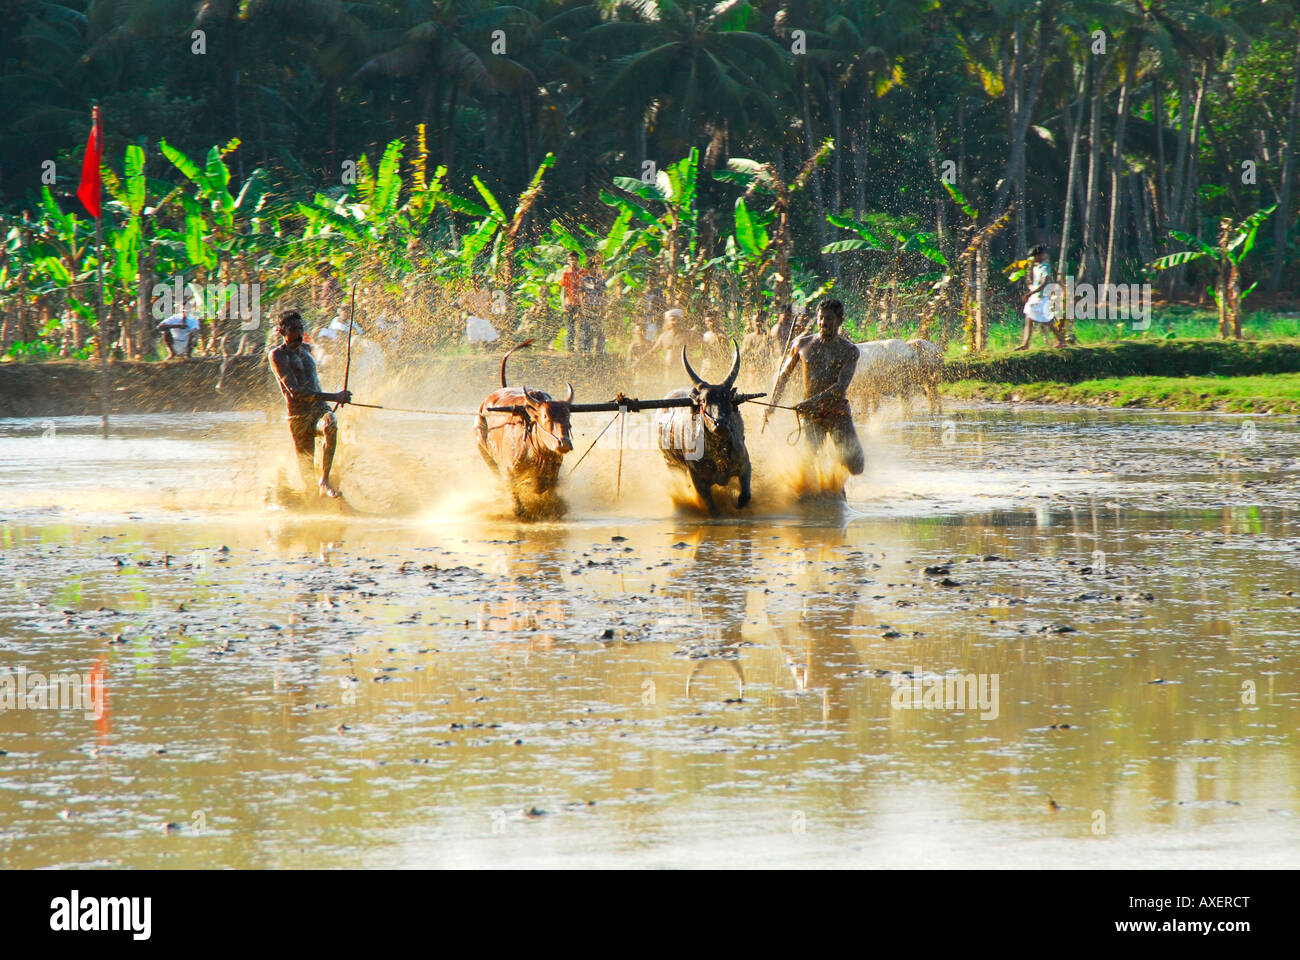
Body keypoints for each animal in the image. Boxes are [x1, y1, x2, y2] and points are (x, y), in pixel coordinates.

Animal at [478, 335, 574, 515]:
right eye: (544, 416)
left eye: (568, 416)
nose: (564, 443)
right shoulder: (509, 472)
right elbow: (517, 500)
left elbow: (543, 487)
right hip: (486, 455)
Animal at [655, 338, 759, 512]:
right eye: (703, 400)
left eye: (728, 398)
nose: (721, 424)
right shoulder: (698, 480)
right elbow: (711, 507)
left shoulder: (745, 465)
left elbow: (745, 497)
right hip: (671, 464)